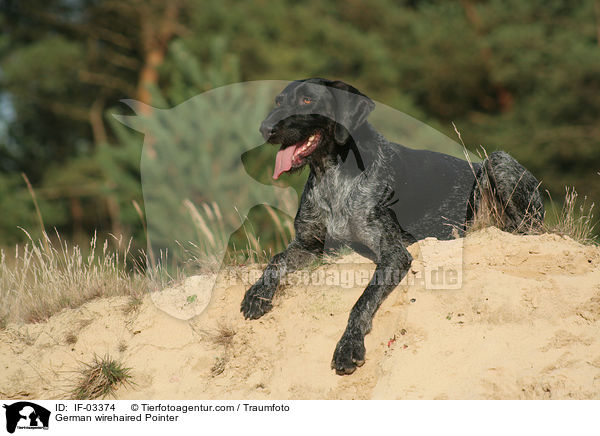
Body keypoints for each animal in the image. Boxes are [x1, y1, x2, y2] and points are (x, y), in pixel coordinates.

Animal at [239, 78, 544, 374]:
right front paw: (257, 294)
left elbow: (362, 301)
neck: (331, 176)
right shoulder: (308, 245)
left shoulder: (393, 253)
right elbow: (276, 260)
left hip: (499, 163)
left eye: (307, 100)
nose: (265, 129)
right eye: (278, 101)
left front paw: (349, 345)